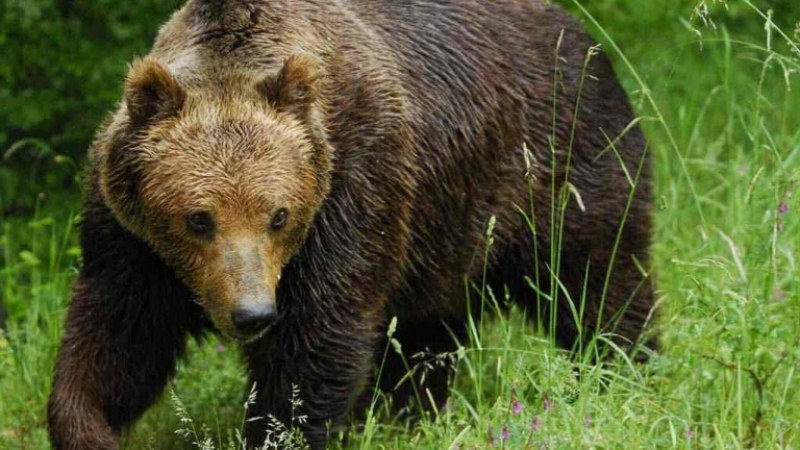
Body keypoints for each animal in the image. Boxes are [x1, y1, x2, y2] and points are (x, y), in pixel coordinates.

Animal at [48, 0, 656, 450]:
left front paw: (280, 429)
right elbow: (119, 340)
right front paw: (88, 427)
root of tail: (579, 32)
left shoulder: (351, 191)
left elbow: (316, 341)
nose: (252, 314)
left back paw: (621, 371)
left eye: (278, 215)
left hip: (560, 165)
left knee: (597, 280)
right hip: (443, 232)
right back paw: (411, 412)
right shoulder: (133, 241)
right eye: (199, 218)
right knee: (427, 332)